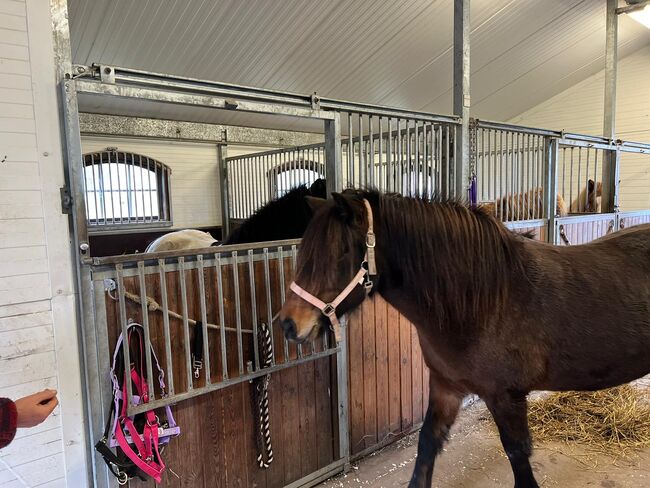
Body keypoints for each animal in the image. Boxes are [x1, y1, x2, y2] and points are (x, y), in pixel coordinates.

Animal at [278, 190, 648, 488]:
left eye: (341, 253)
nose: (287, 324)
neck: (486, 301)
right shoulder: (446, 386)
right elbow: (427, 446)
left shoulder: (506, 397)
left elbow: (518, 458)